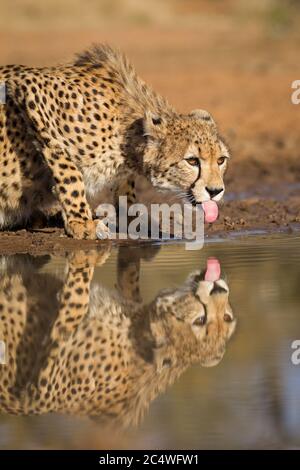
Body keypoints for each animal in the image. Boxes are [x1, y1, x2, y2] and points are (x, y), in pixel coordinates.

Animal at [0, 45, 230, 239]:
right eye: (192, 161)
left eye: (221, 160)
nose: (216, 191)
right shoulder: (30, 87)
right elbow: (70, 174)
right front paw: (82, 223)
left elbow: (125, 187)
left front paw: (132, 216)